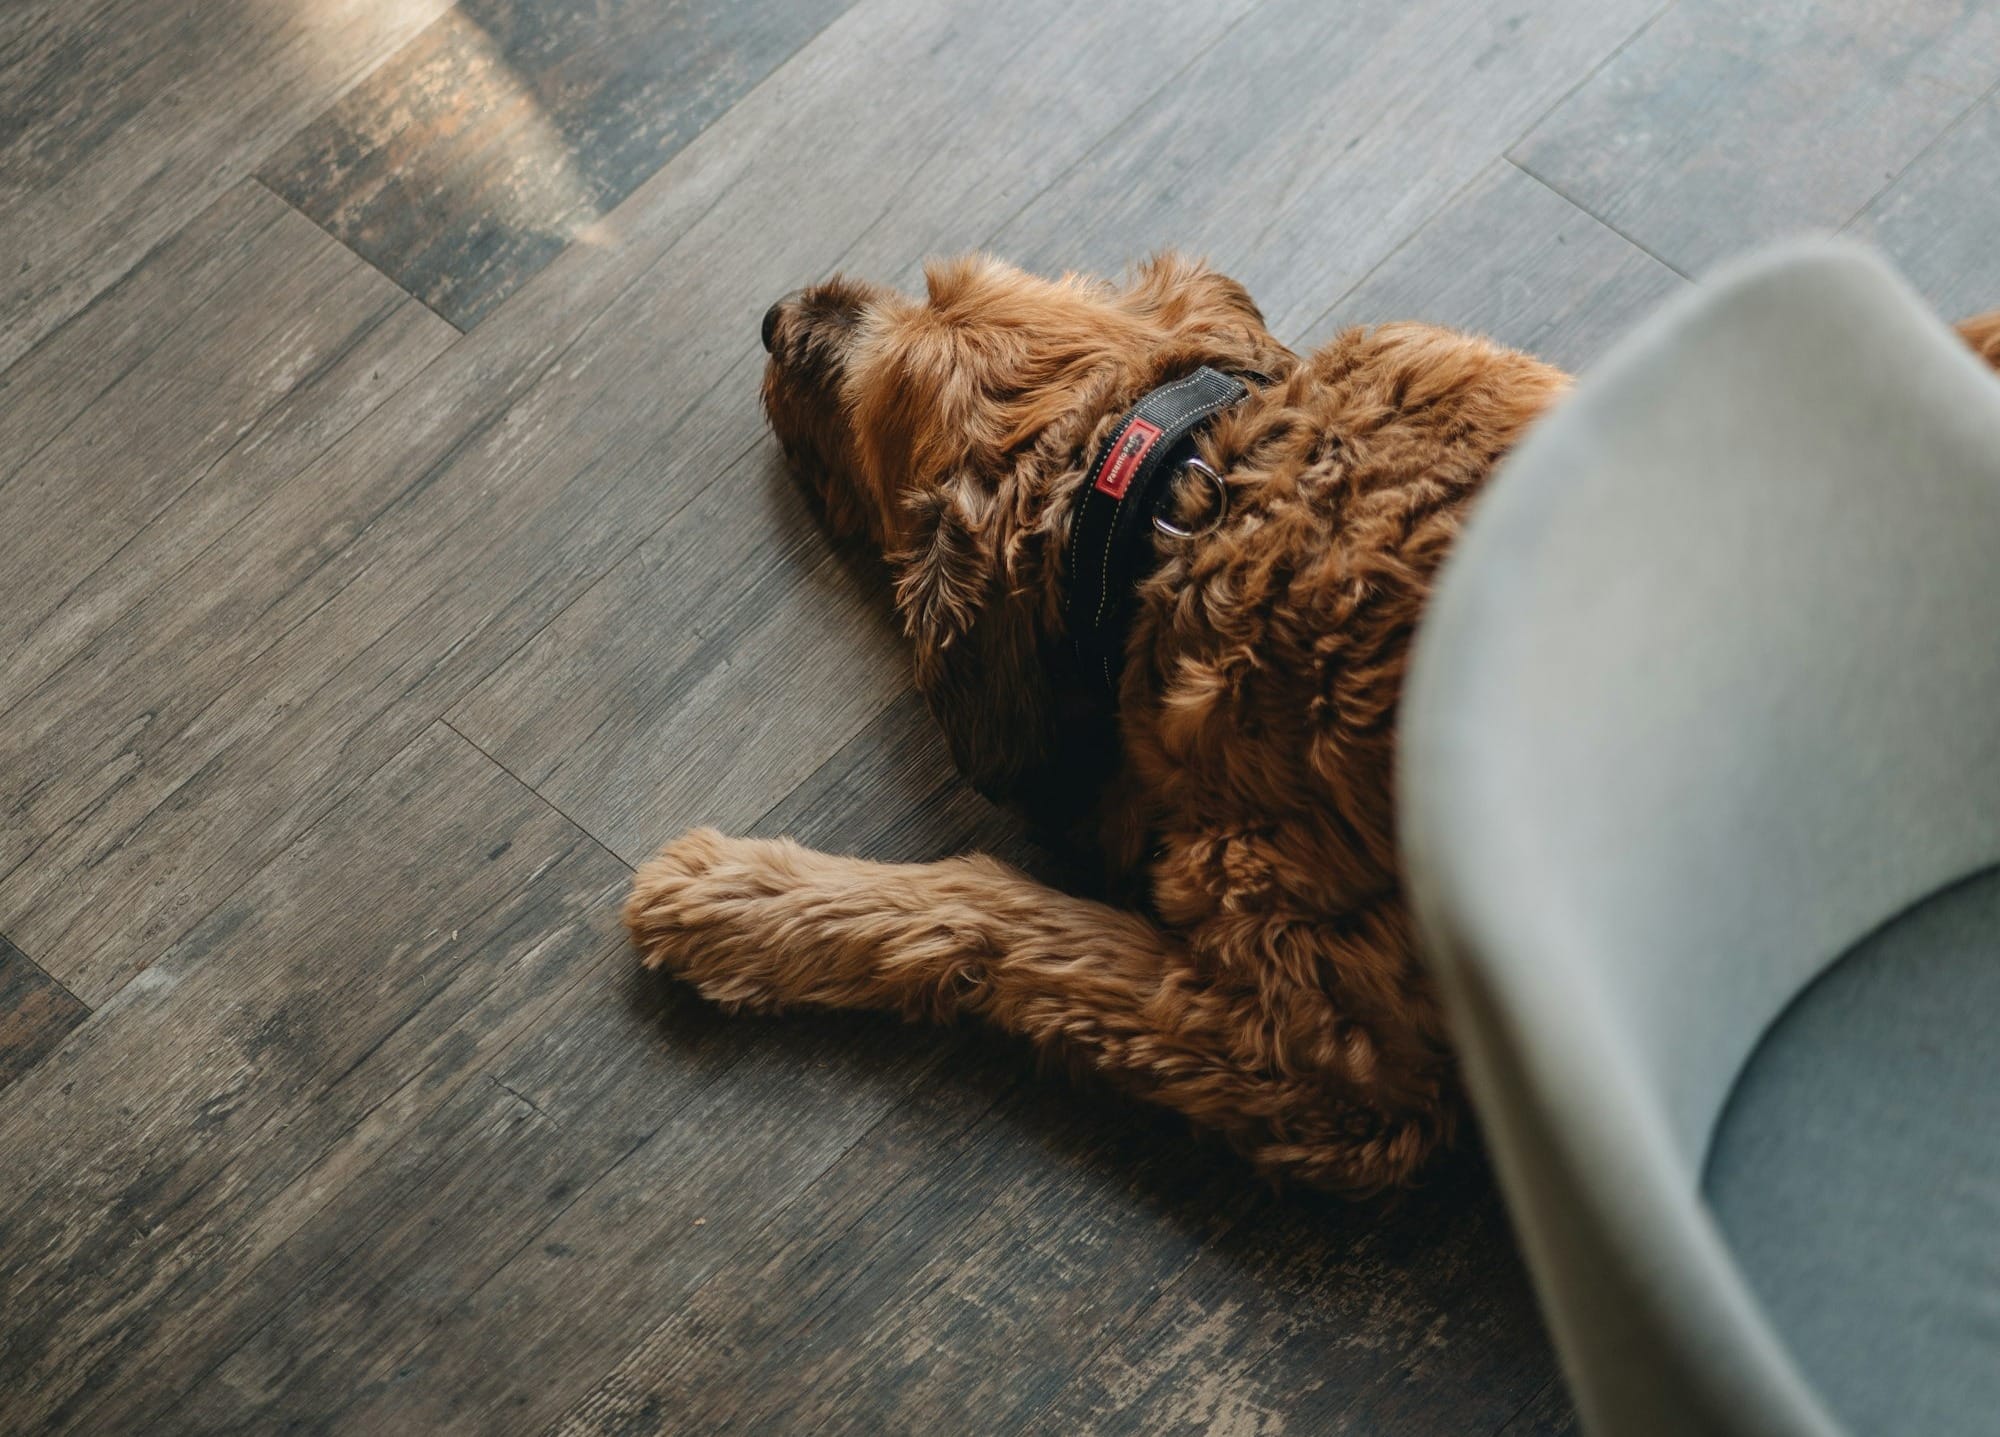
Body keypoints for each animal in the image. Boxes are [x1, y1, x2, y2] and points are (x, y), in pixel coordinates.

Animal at [632, 256, 2000, 1192]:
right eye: (937, 281)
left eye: (862, 415)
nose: (775, 317)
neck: (1185, 494)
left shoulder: (1322, 1066)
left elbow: (993, 912)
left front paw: (743, 902)